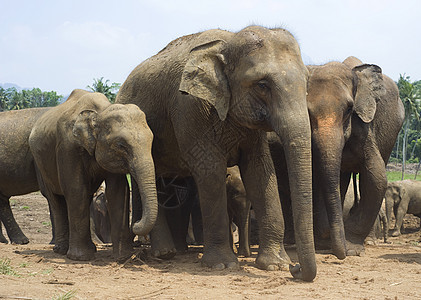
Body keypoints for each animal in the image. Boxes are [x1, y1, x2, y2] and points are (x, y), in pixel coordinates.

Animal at [28, 89, 158, 260]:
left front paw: (123, 256)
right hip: (40, 165)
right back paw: (62, 250)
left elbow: (118, 190)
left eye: (152, 141)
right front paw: (80, 258)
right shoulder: (67, 147)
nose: (136, 224)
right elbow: (76, 189)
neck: (100, 112)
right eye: (120, 145)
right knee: (55, 200)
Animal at [115, 25, 316, 282]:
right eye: (262, 85)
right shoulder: (189, 108)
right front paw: (222, 266)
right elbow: (210, 171)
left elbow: (259, 171)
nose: (296, 269)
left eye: (307, 83)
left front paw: (275, 265)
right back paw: (165, 254)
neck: (228, 42)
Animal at [270, 57, 404, 258]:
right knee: (340, 179)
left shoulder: (364, 126)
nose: (343, 254)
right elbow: (318, 177)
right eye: (308, 113)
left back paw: (365, 242)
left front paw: (353, 248)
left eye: (349, 109)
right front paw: (329, 243)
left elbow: (376, 177)